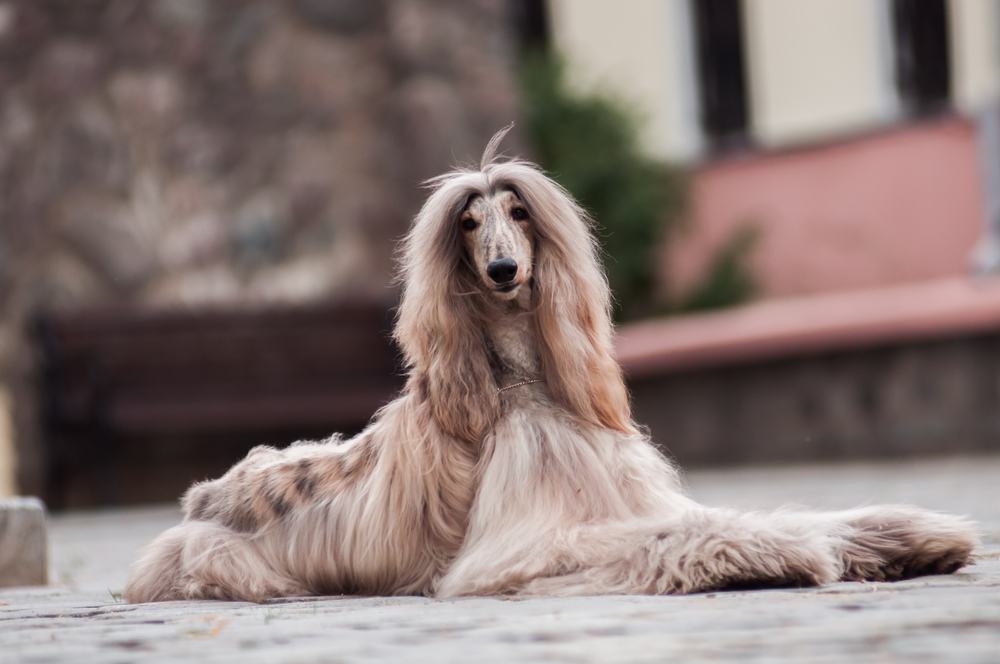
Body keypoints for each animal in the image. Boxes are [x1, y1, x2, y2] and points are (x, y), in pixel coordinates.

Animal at [125, 127, 976, 604]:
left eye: (519, 213)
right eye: (469, 223)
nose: (504, 270)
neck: (521, 386)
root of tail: (200, 498)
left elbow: (774, 514)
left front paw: (905, 534)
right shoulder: (524, 548)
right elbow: (682, 534)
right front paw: (779, 555)